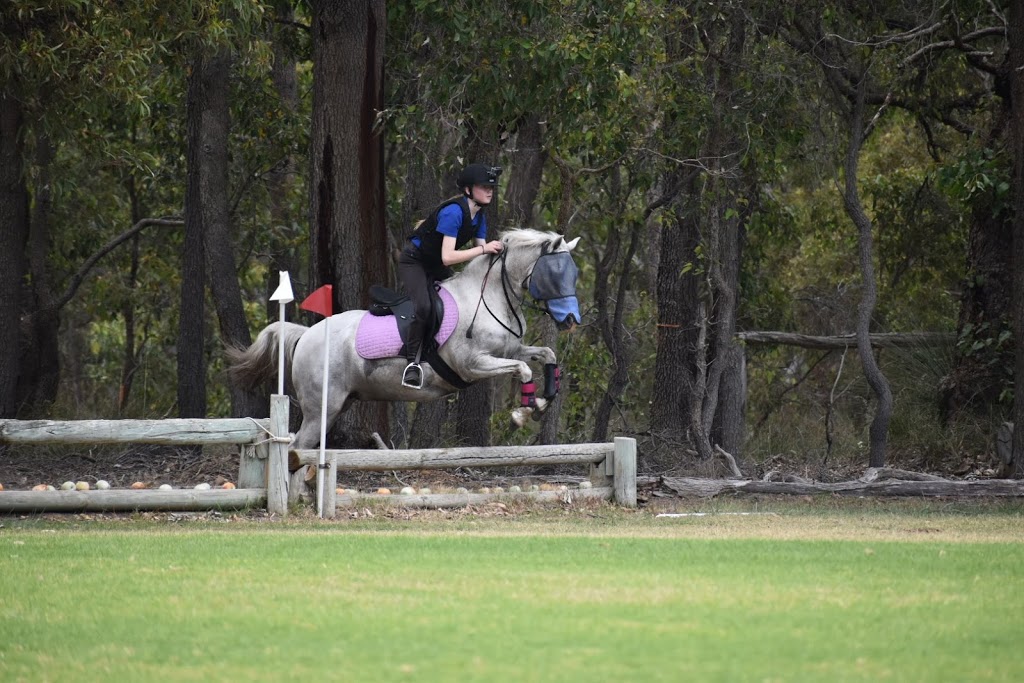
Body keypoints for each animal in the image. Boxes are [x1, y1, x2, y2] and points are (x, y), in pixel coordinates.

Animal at [229, 229, 581, 448]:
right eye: (555, 273)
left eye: (573, 274)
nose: (571, 321)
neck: (490, 297)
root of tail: (305, 336)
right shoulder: (472, 365)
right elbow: (523, 368)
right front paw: (523, 413)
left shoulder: (511, 348)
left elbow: (545, 355)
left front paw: (541, 400)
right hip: (321, 408)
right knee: (299, 446)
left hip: (339, 404)